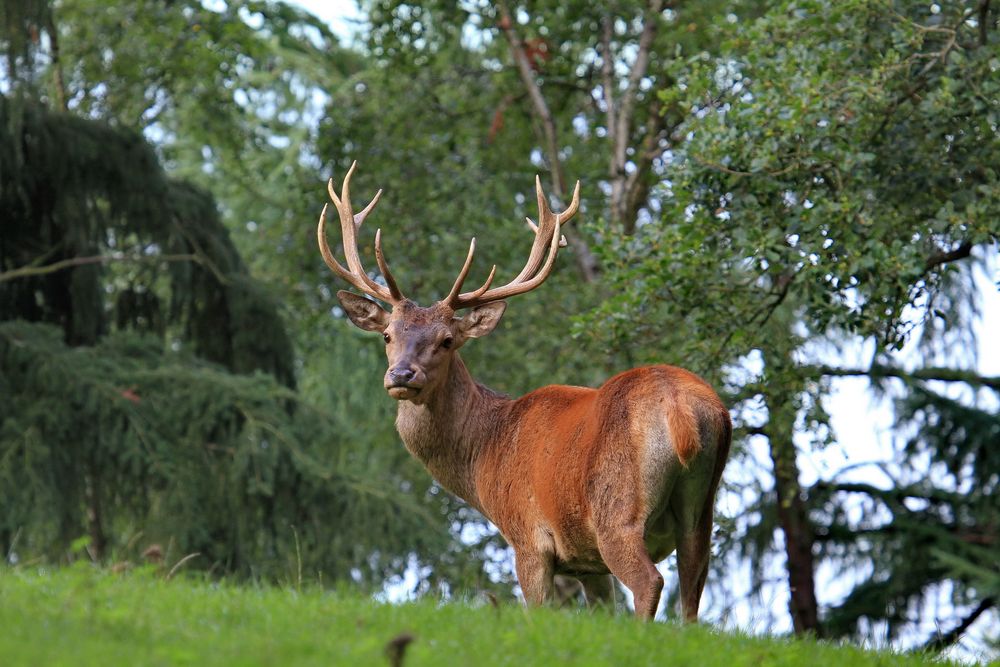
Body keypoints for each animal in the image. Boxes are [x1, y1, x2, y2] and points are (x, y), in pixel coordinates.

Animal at [320, 162, 736, 620]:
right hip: (700, 511)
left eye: (447, 341)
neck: (484, 453)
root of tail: (683, 409)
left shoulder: (528, 537)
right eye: (387, 335)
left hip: (616, 511)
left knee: (650, 582)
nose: (402, 375)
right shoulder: (586, 561)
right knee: (692, 589)